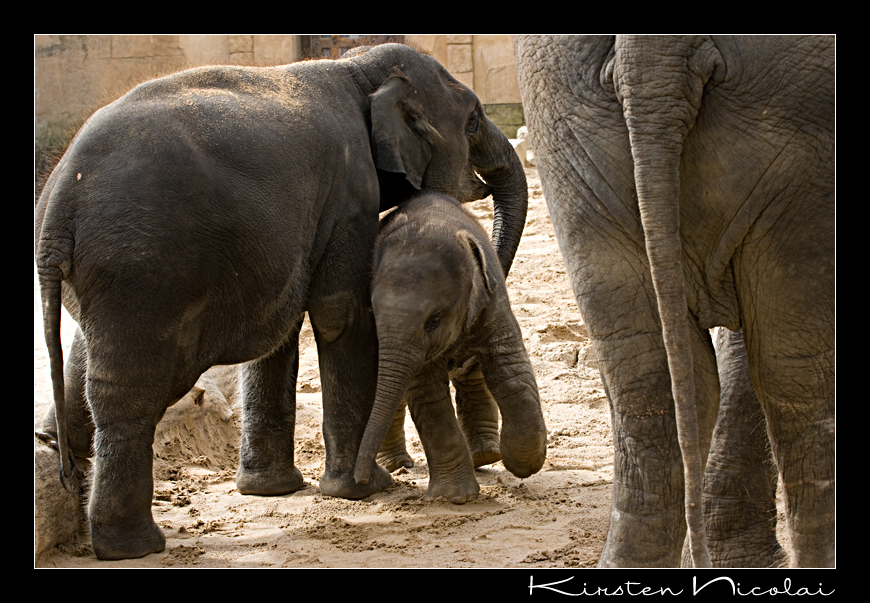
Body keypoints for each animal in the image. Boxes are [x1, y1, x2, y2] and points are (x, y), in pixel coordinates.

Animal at [352, 193, 544, 504]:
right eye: (372, 314)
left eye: (434, 320)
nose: (361, 479)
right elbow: (428, 397)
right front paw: (457, 497)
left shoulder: (493, 301)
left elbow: (510, 372)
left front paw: (522, 465)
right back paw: (397, 465)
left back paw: (487, 455)